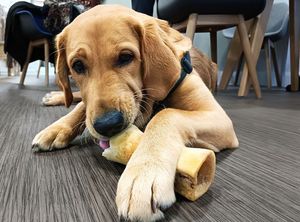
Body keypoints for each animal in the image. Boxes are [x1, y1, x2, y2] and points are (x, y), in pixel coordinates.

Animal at [32, 4, 239, 220]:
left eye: (126, 57)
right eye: (78, 65)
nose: (107, 124)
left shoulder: (217, 116)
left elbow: (166, 114)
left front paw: (143, 174)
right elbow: (84, 107)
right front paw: (57, 128)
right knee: (78, 98)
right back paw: (55, 97)